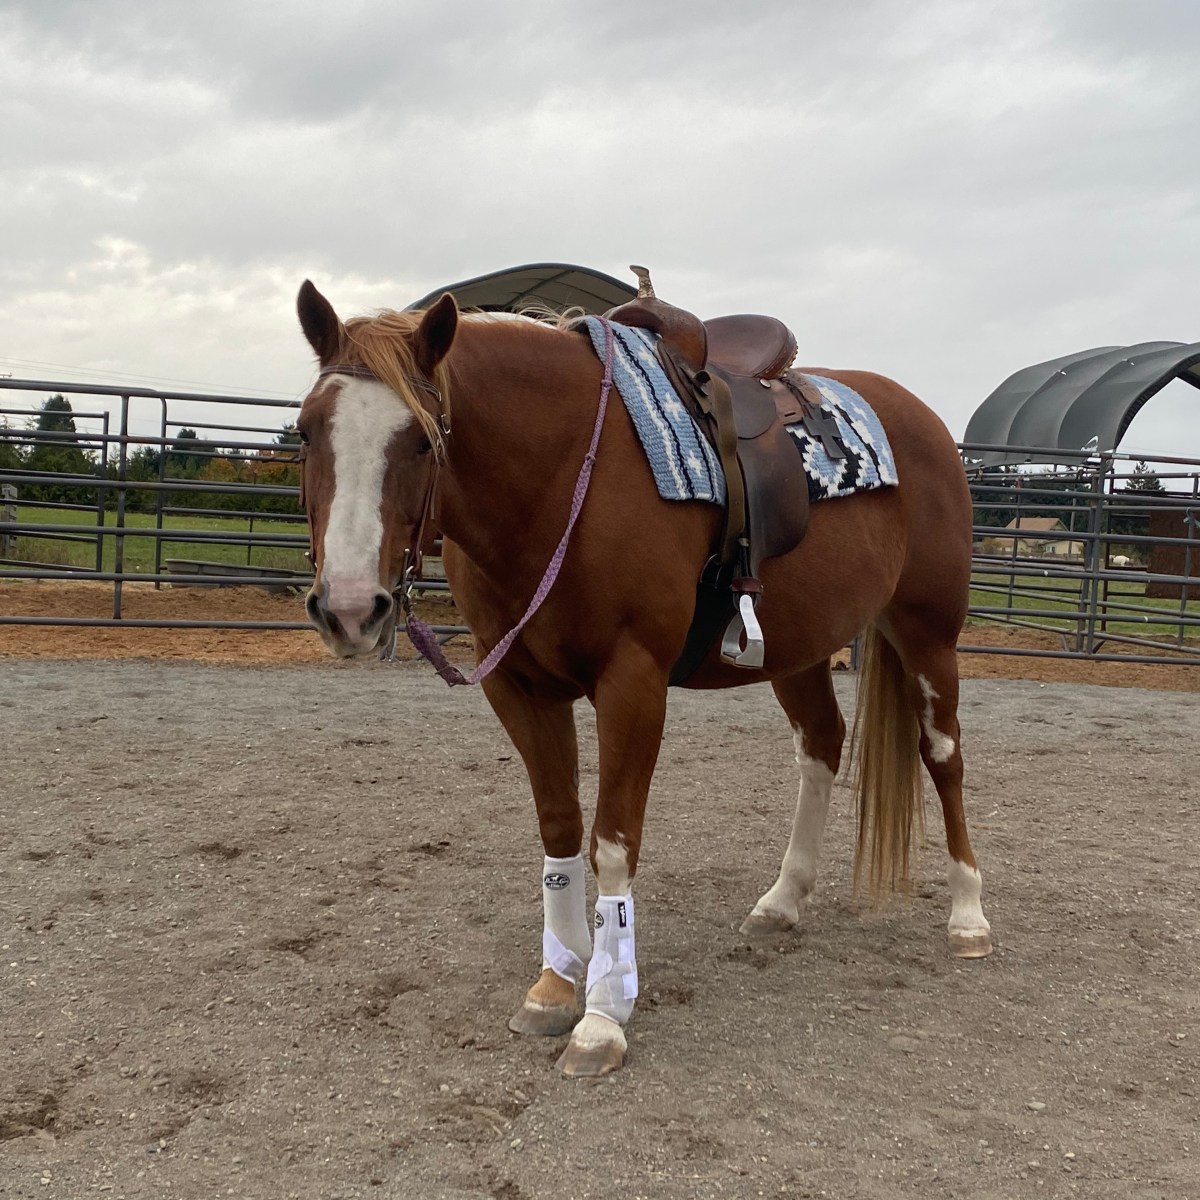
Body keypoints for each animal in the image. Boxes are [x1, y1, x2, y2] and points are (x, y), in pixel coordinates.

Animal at [293, 280, 993, 1078]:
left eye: (420, 440)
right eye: (306, 433)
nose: (350, 609)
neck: (561, 473)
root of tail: (923, 420)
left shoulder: (633, 684)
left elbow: (613, 841)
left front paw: (602, 1016)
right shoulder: (518, 686)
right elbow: (561, 829)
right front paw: (556, 983)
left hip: (927, 633)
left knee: (943, 755)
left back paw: (968, 915)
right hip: (798, 649)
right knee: (821, 744)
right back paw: (783, 901)